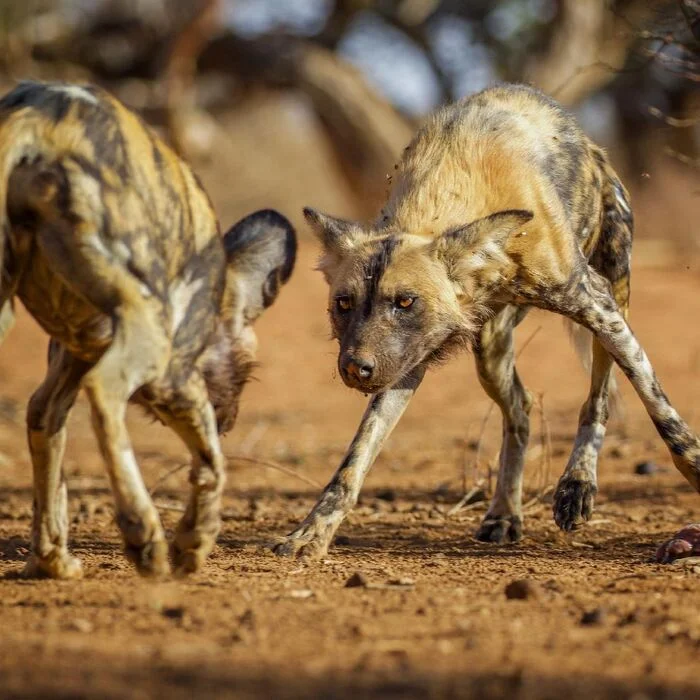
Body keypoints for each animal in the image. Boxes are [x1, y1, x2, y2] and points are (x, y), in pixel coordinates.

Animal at [0, 79, 296, 576]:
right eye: (248, 373)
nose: (230, 418)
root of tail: (38, 119)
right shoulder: (174, 378)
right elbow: (213, 464)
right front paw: (192, 541)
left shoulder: (67, 365)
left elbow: (47, 447)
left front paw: (50, 560)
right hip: (149, 331)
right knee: (106, 395)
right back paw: (143, 533)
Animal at [274, 82, 700, 560]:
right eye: (344, 304)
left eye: (405, 301)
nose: (354, 368)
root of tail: (594, 148)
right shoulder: (406, 363)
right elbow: (354, 462)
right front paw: (313, 532)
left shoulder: (594, 303)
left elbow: (662, 414)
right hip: (491, 353)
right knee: (521, 409)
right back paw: (504, 514)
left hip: (611, 300)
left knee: (598, 398)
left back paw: (576, 486)